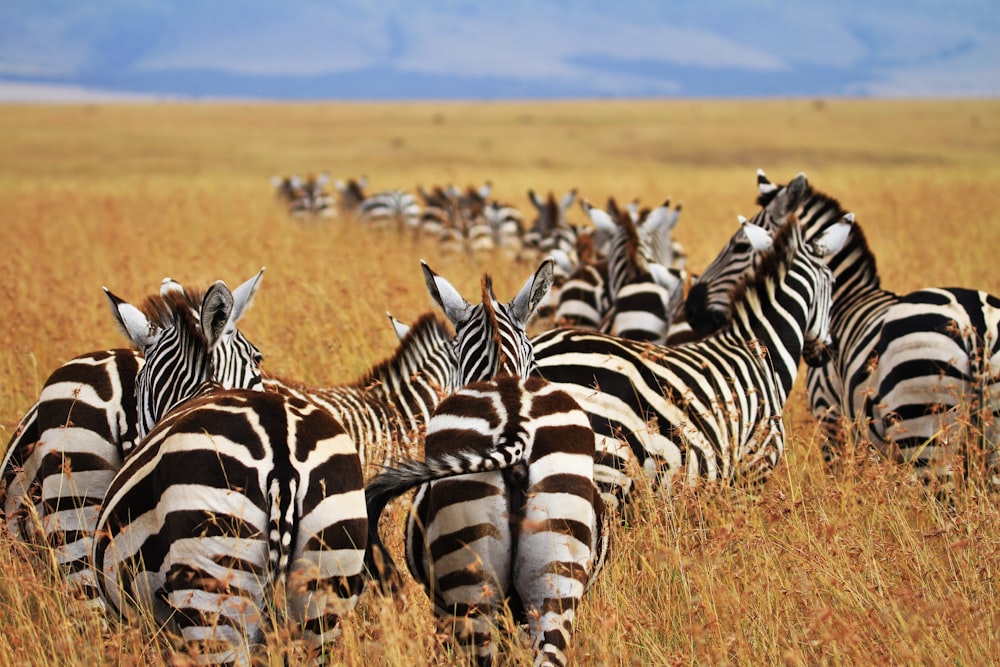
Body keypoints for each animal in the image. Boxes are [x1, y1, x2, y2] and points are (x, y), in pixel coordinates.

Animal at [688, 170, 1000, 488]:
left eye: (740, 246)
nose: (691, 308)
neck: (846, 300)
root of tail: (976, 319)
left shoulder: (831, 417)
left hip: (924, 429)